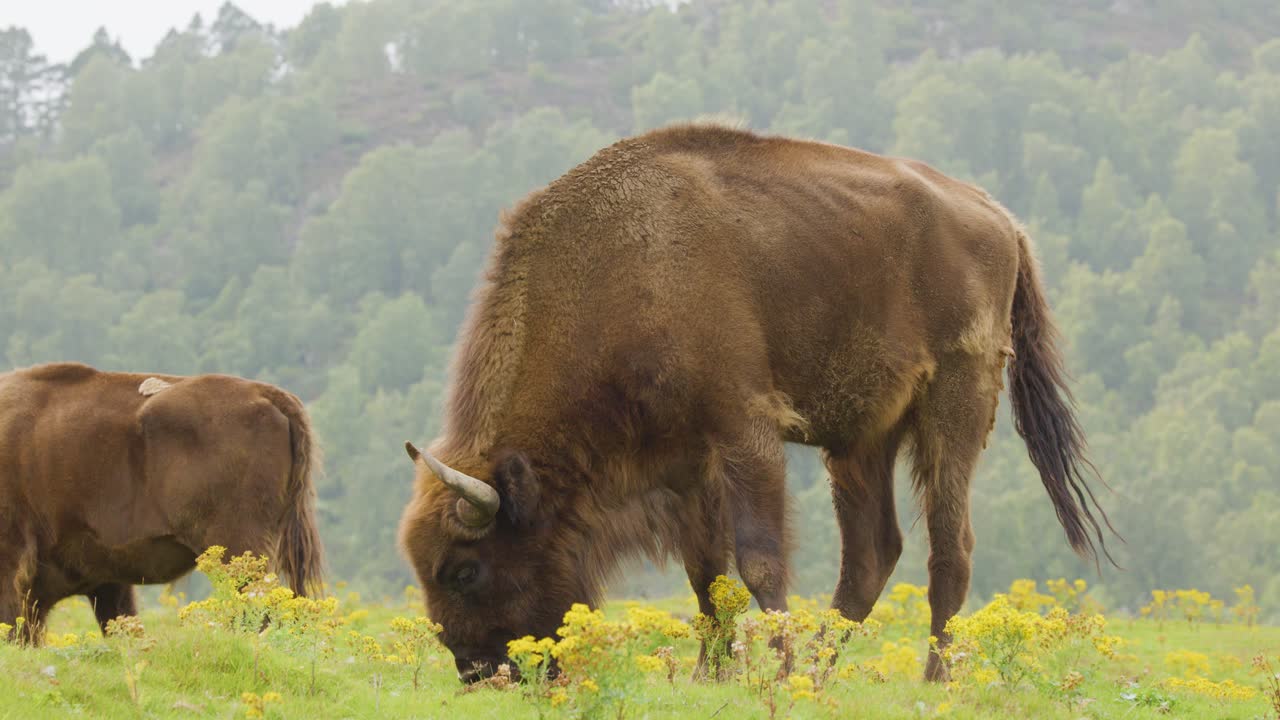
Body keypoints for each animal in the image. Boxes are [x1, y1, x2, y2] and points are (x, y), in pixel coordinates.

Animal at [398, 122, 1114, 683]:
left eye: (463, 570)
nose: (477, 670)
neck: (625, 266)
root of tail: (1002, 221)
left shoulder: (745, 428)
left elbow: (757, 560)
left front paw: (773, 671)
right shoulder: (685, 463)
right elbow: (706, 572)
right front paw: (710, 674)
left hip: (956, 402)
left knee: (950, 546)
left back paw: (932, 679)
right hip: (861, 436)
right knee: (871, 553)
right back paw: (824, 673)